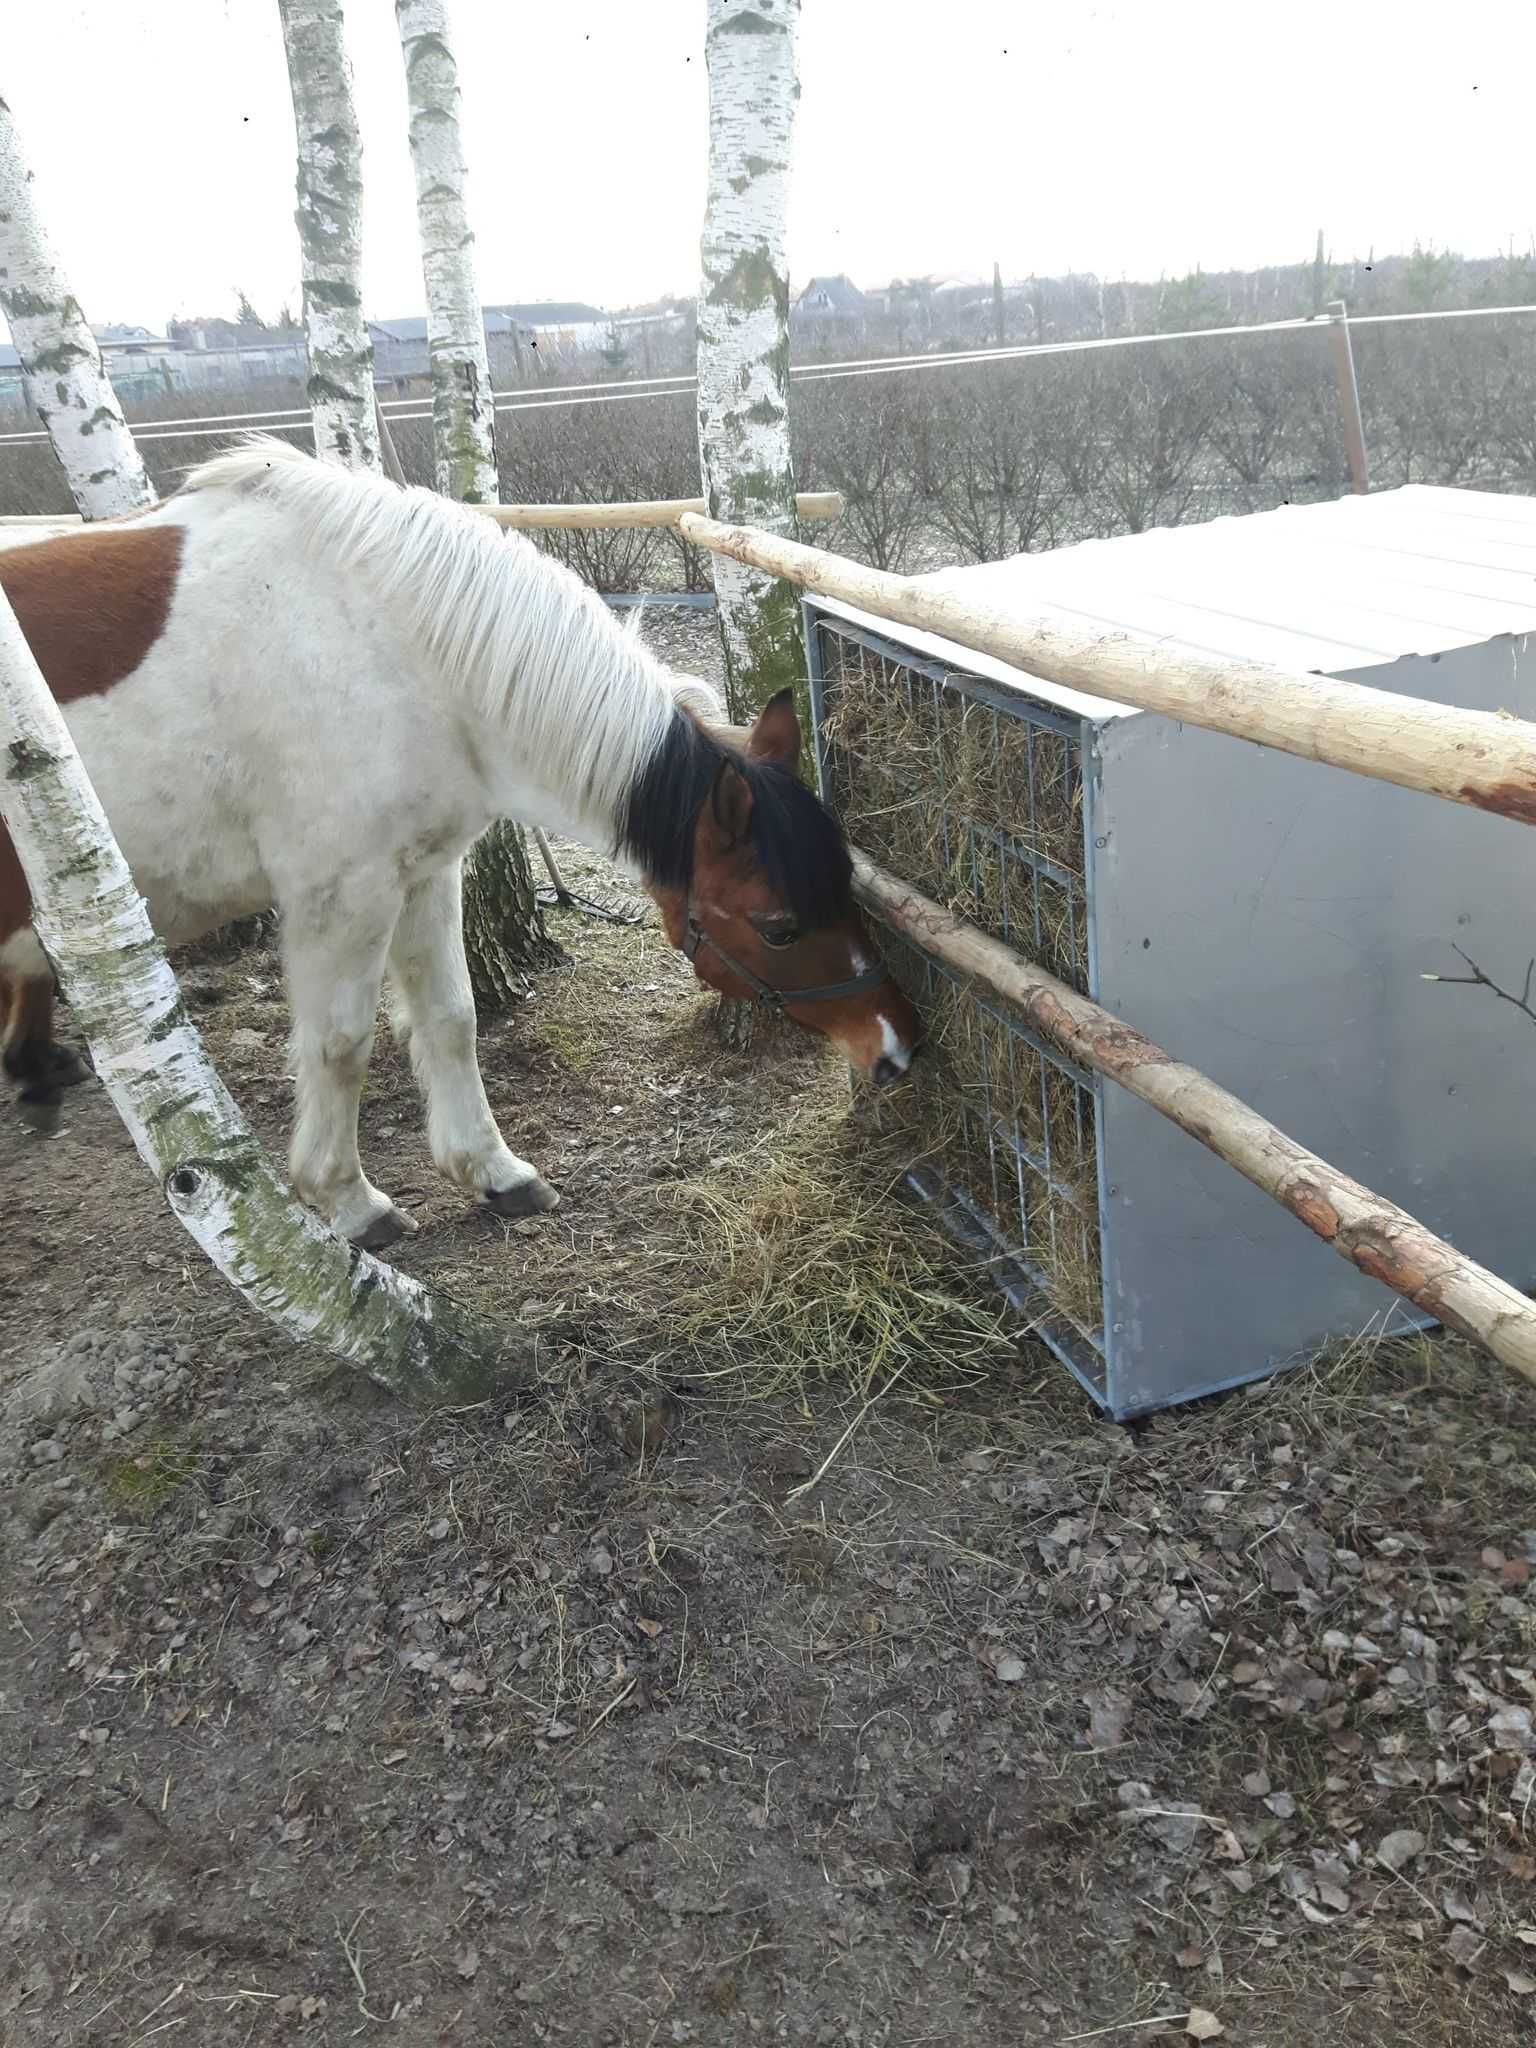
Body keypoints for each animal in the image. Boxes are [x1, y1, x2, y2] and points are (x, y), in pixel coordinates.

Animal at [0, 438, 913, 1236]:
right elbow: (340, 1045)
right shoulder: (344, 896)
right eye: (778, 927)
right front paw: (347, 1200)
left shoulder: (424, 873)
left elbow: (450, 1017)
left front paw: (493, 1171)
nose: (898, 1051)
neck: (390, 647)